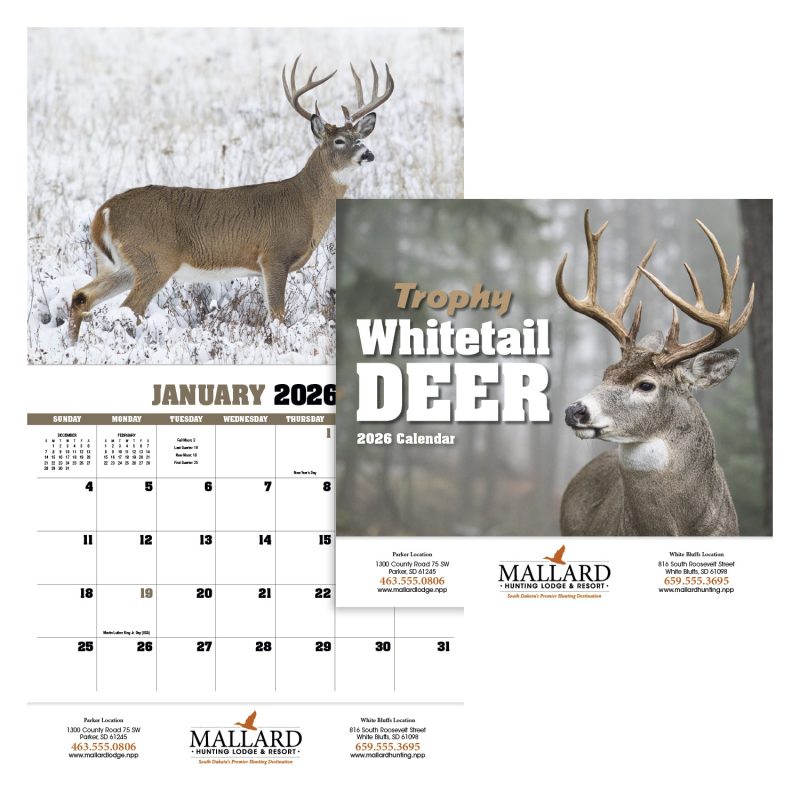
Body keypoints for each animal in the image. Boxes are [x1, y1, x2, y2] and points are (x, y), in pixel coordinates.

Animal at [68, 55, 394, 343]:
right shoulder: (274, 254)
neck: (306, 203)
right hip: (155, 259)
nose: (368, 154)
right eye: (339, 140)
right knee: (128, 308)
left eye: (360, 138)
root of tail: (104, 211)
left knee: (81, 296)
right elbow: (278, 315)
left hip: (118, 264)